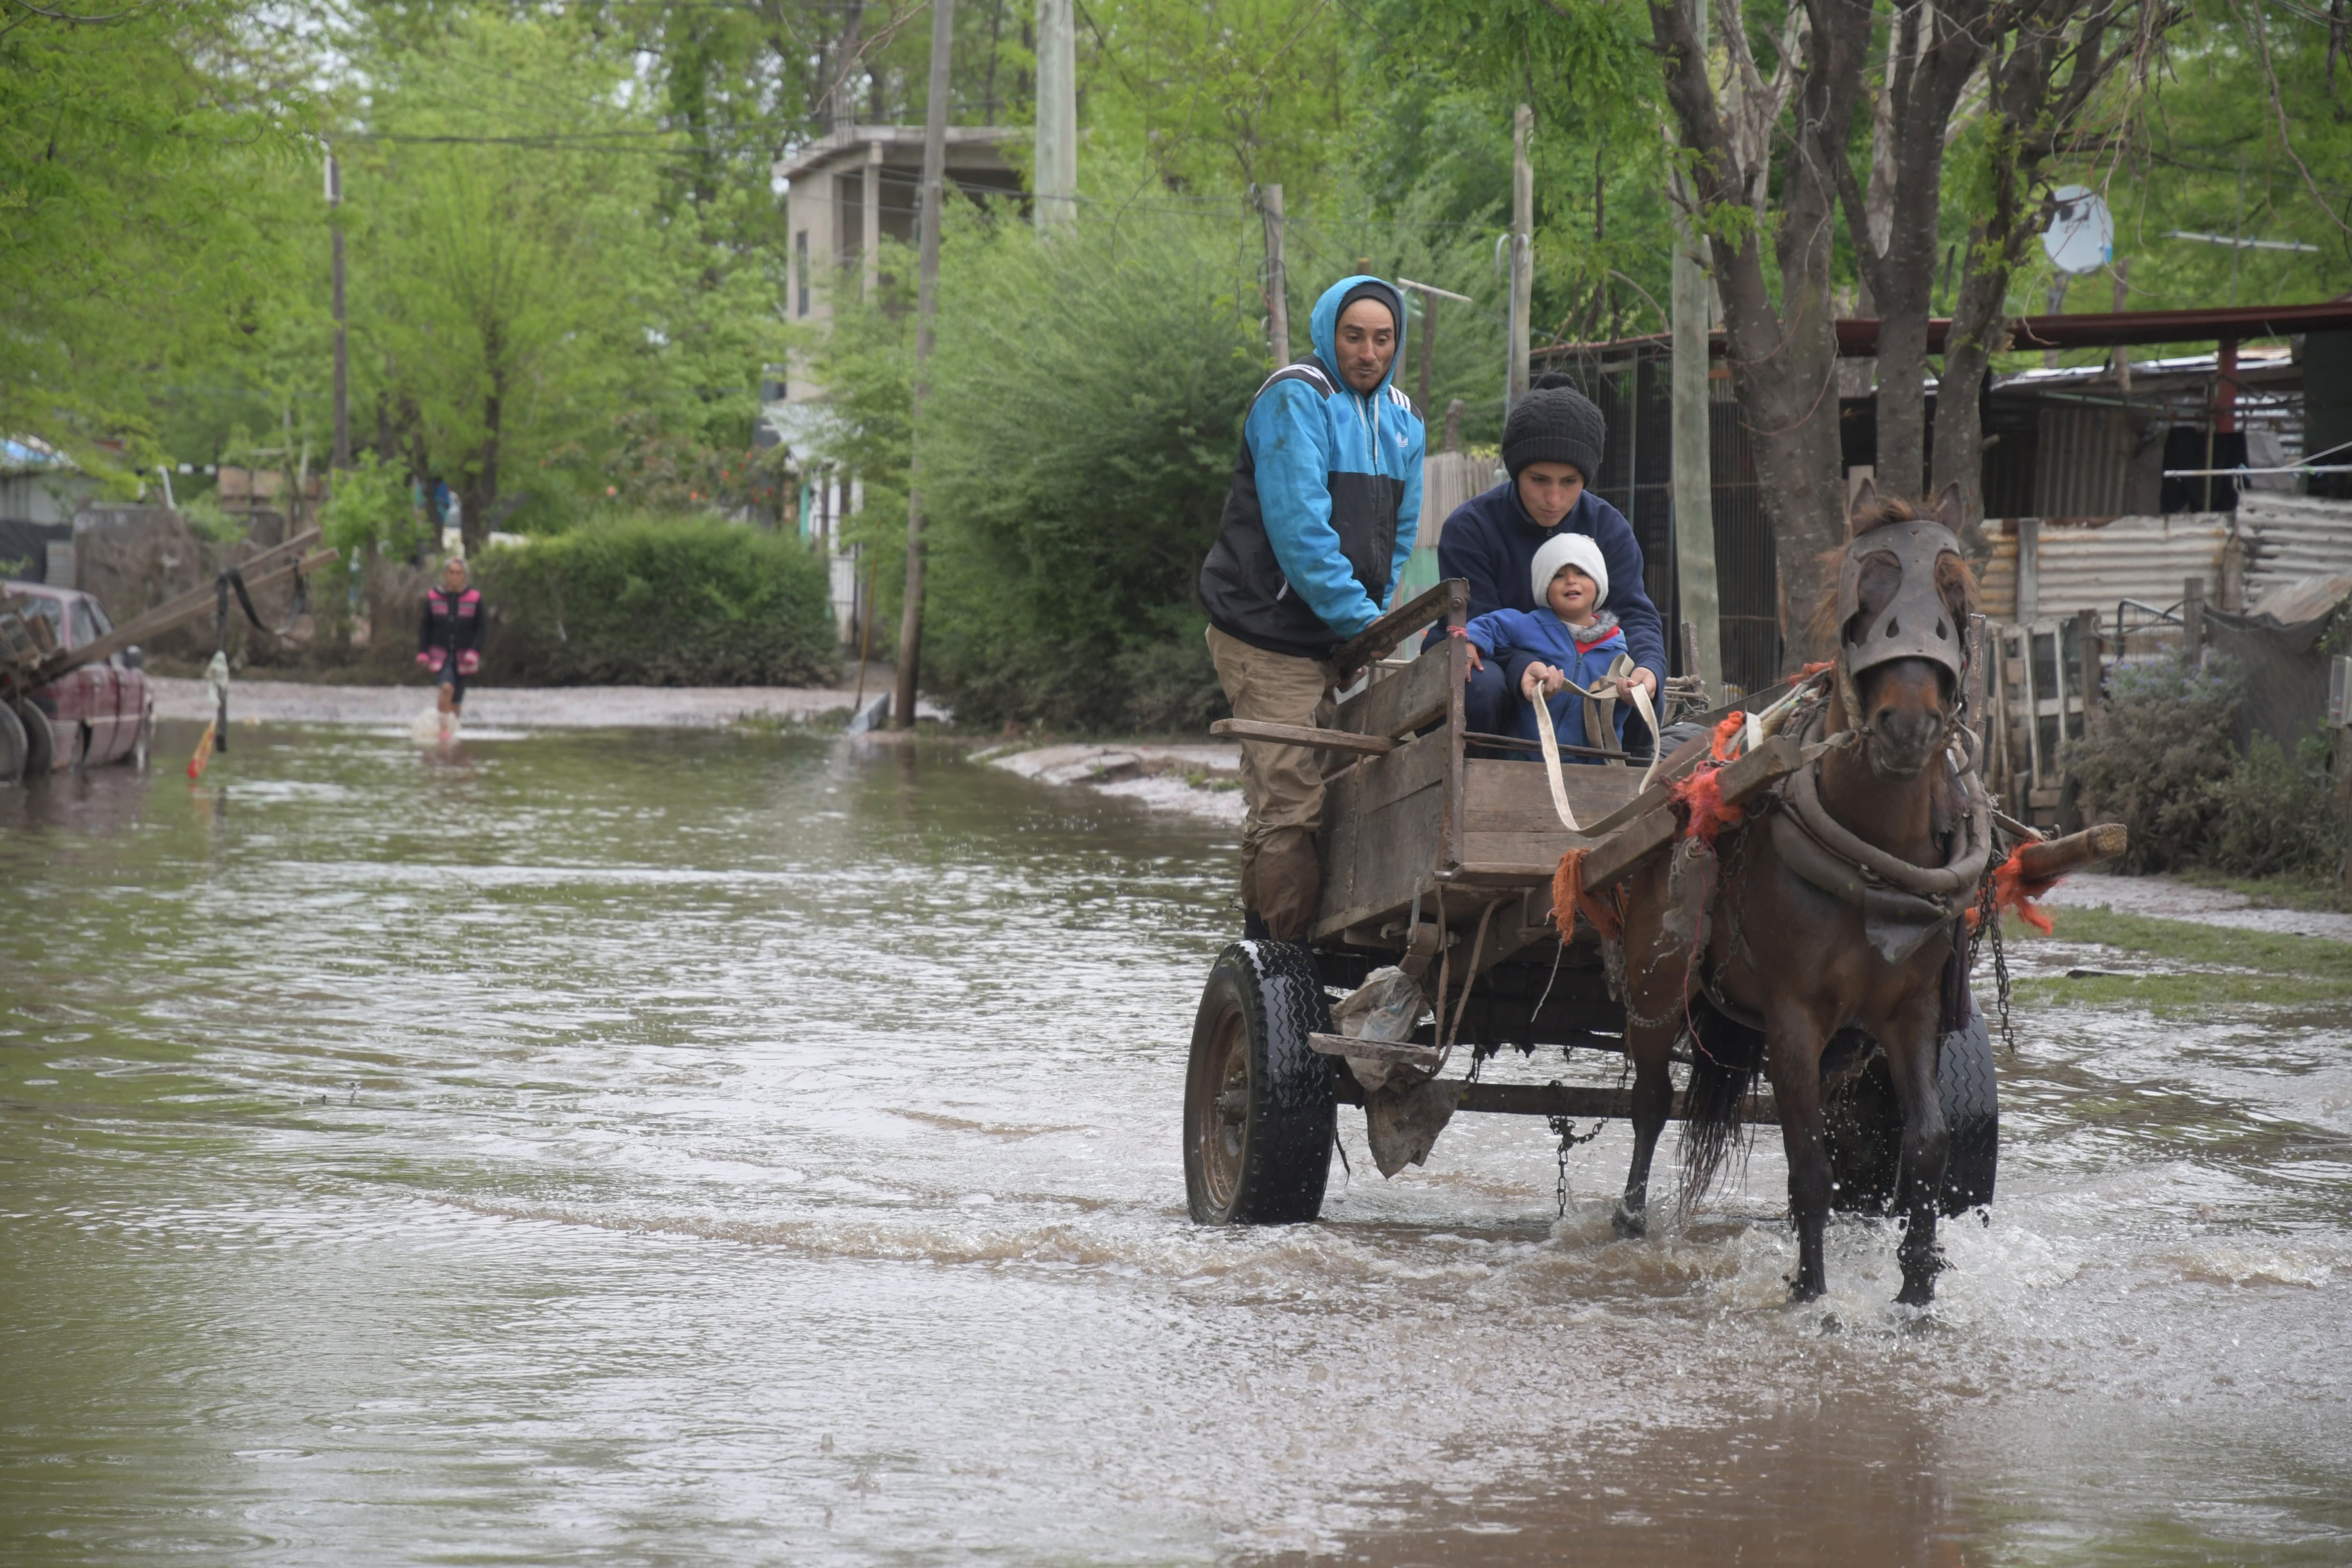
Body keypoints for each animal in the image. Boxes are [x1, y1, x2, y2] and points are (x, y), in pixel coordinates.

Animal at [1606, 480, 1986, 1306]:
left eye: (1956, 597)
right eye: (1863, 595)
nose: (1909, 726)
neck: (1873, 855)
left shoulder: (1911, 1011)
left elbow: (1930, 1147)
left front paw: (1917, 1290)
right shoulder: (1793, 1016)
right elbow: (1808, 1162)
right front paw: (1812, 1294)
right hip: (1658, 974)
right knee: (1649, 1100)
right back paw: (1629, 1217)